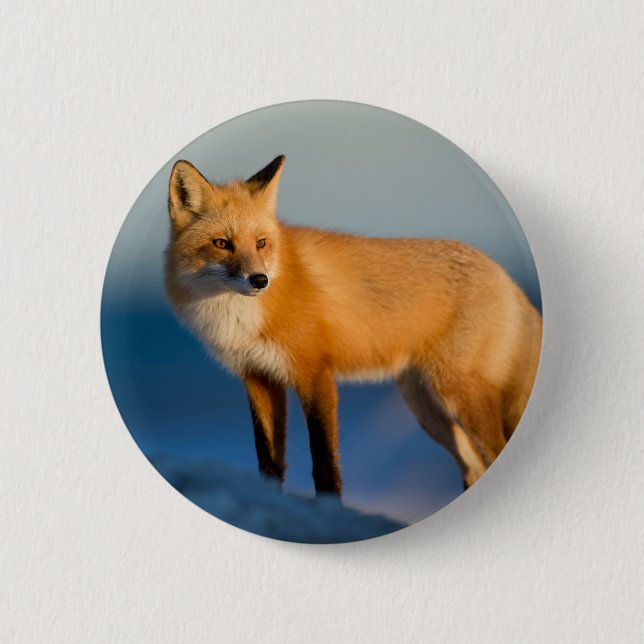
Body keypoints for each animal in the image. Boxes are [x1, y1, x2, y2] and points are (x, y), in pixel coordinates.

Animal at [164, 155, 542, 495]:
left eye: (261, 243)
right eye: (221, 243)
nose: (259, 280)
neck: (239, 318)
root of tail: (505, 276)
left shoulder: (315, 374)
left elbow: (324, 464)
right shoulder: (258, 378)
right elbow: (268, 462)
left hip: (457, 396)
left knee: (493, 452)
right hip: (426, 407)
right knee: (474, 468)